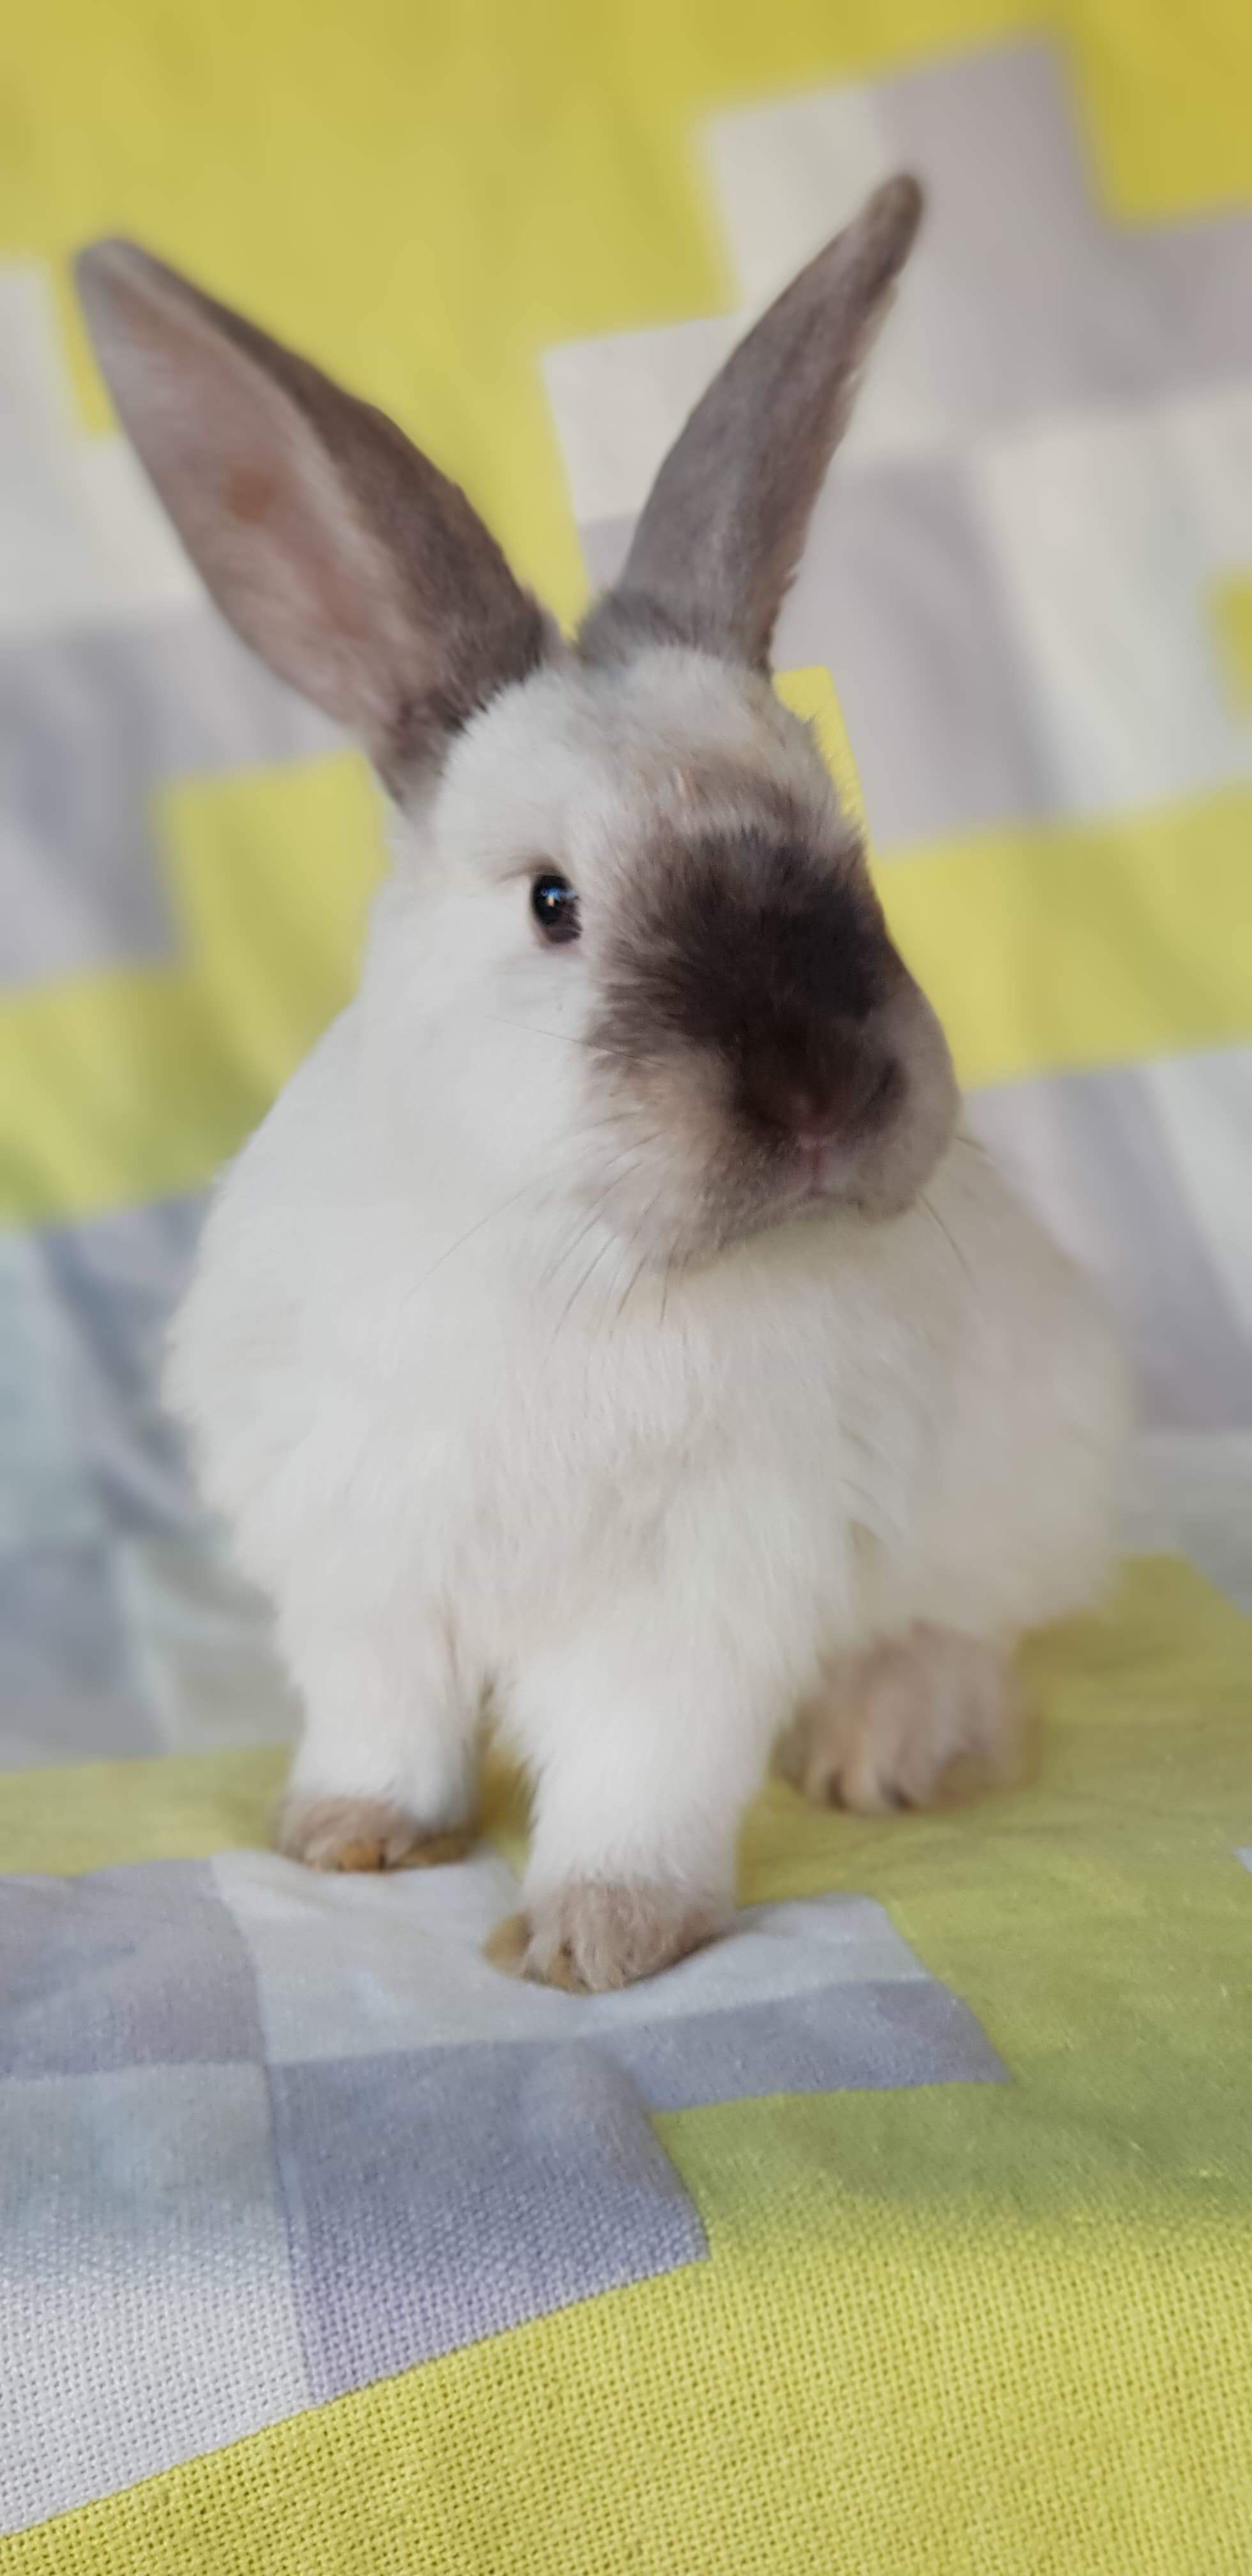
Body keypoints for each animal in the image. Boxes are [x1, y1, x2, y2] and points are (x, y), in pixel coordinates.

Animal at [77, 177, 1128, 1992]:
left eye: (847, 859)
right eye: (553, 903)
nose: (819, 1097)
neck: (556, 1245)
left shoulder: (691, 1601)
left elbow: (643, 1770)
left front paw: (594, 1937)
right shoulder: (361, 1570)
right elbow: (381, 1721)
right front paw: (345, 1838)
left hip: (1013, 1496)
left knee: (975, 1639)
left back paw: (882, 1742)